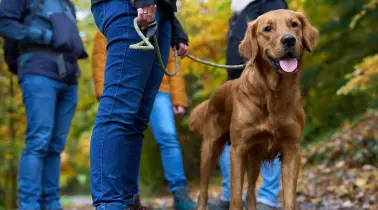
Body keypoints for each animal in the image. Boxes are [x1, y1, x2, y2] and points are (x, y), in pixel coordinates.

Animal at [189, 9, 318, 210]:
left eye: (294, 24)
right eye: (267, 28)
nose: (289, 40)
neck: (273, 94)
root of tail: (212, 97)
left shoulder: (291, 149)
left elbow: (289, 199)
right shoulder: (238, 149)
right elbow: (235, 197)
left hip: (255, 157)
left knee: (250, 191)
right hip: (210, 149)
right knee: (203, 191)